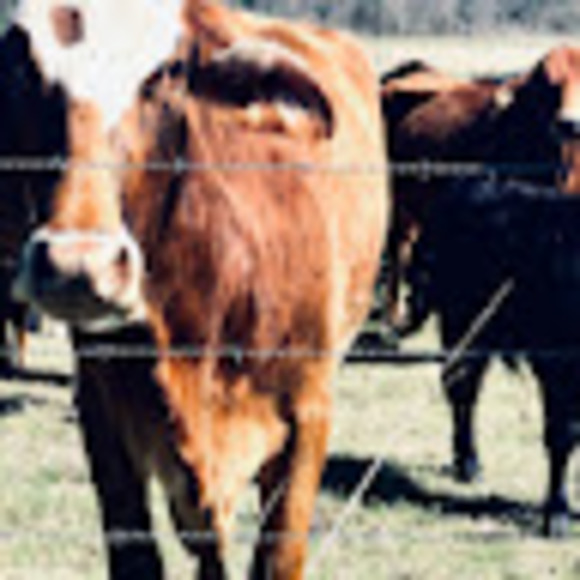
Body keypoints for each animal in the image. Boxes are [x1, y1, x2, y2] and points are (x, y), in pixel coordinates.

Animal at [403, 174, 580, 536]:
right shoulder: (559, 369)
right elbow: (562, 435)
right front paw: (556, 513)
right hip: (462, 328)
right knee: (462, 393)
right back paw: (468, 463)